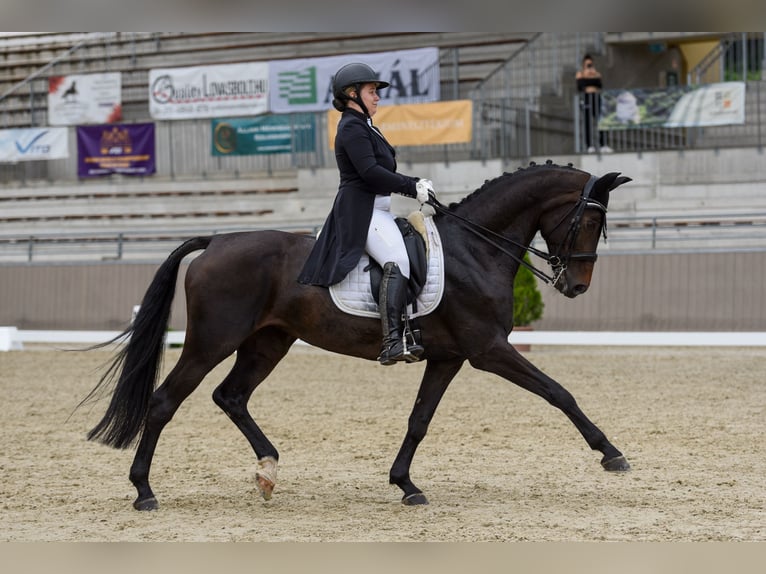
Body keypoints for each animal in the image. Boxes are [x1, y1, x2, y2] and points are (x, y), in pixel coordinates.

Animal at [82, 160, 636, 510]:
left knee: (231, 396)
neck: (474, 250)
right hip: (211, 341)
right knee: (164, 401)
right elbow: (558, 392)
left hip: (268, 341)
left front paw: (406, 485)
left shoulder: (449, 357)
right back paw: (144, 492)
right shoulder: (488, 349)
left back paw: (268, 471)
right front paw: (611, 453)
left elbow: (419, 420)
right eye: (590, 219)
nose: (576, 285)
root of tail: (216, 240)